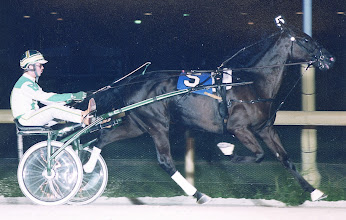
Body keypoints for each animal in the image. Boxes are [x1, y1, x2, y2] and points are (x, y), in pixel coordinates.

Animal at [82, 16, 334, 204]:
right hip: (157, 125)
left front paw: (316, 192)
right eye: (305, 40)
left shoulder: (265, 129)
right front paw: (226, 150)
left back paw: (87, 168)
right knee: (165, 161)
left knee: (104, 138)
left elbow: (285, 159)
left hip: (138, 124)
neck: (252, 83)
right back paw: (199, 194)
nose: (330, 58)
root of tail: (134, 81)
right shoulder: (238, 128)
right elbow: (259, 155)